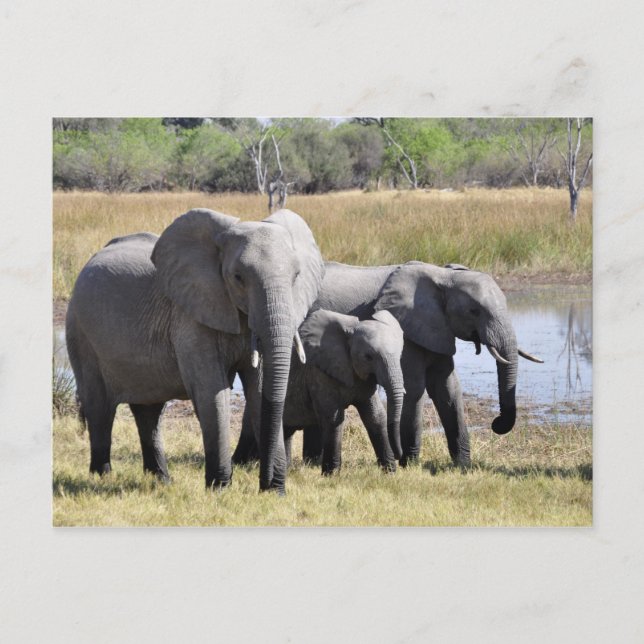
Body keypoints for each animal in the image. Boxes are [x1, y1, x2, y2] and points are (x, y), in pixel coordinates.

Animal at [66, 208, 324, 493]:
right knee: (99, 407)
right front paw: (219, 489)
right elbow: (211, 391)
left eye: (296, 276)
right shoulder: (190, 316)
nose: (269, 485)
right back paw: (101, 476)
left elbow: (258, 389)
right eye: (238, 278)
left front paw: (272, 492)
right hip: (80, 332)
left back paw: (161, 480)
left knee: (149, 411)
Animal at [282, 308, 405, 474]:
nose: (400, 456)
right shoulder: (319, 372)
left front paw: (390, 473)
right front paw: (331, 475)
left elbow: (375, 416)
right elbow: (333, 418)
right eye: (368, 357)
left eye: (400, 355)